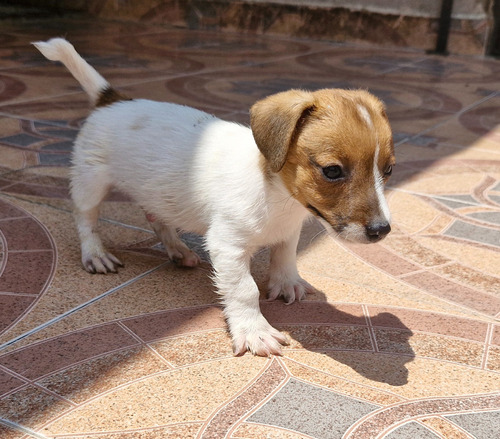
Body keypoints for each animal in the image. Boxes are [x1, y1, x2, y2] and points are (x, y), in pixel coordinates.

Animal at [34, 38, 394, 358]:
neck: (279, 197)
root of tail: (113, 99)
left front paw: (287, 282)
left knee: (157, 217)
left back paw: (178, 250)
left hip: (157, 192)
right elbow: (245, 290)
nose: (382, 231)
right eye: (332, 171)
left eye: (388, 169)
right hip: (90, 180)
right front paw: (254, 330)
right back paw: (95, 254)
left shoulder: (289, 231)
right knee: (86, 218)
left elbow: (285, 256)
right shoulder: (227, 245)